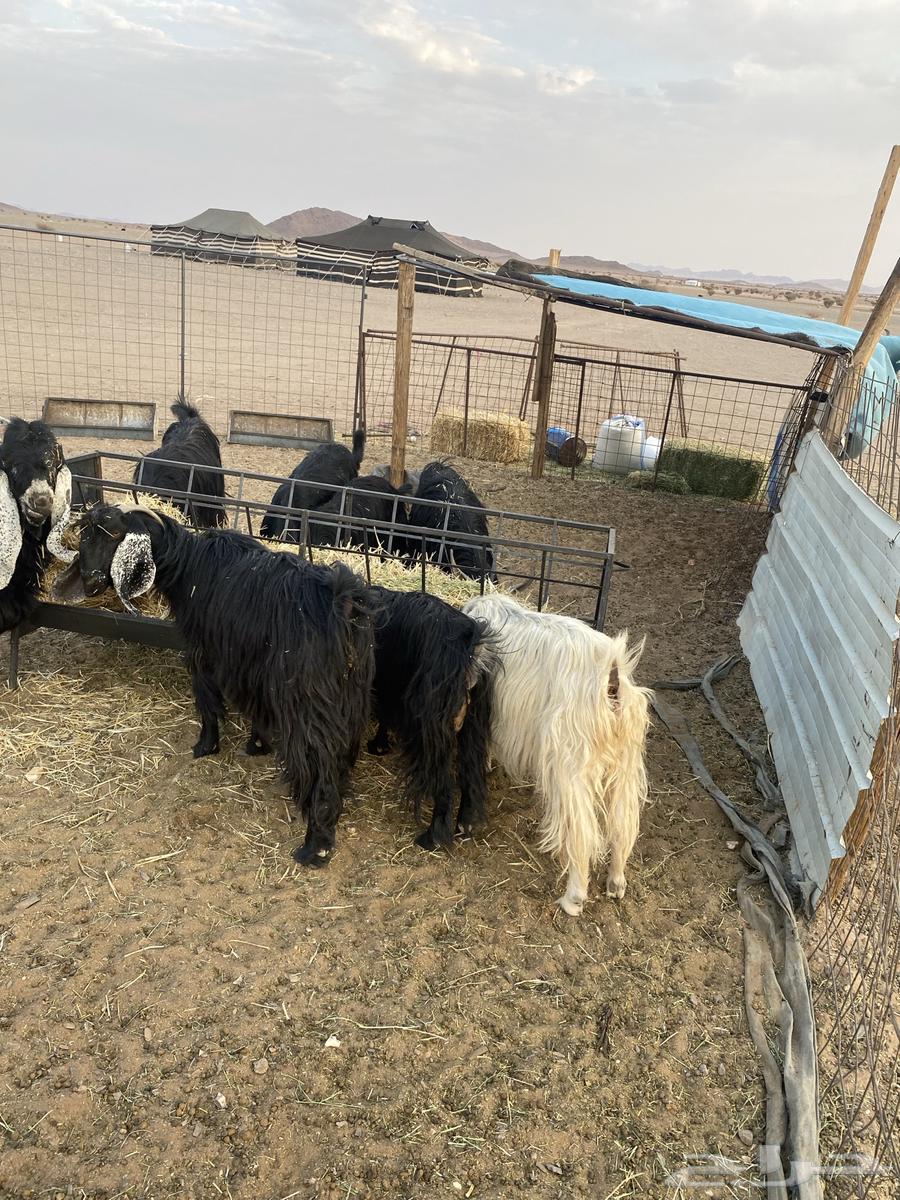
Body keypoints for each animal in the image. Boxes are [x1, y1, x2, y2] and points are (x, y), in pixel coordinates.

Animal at [55, 505, 375, 866]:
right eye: (85, 535)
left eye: (111, 536)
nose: (90, 582)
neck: (189, 566)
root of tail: (344, 605)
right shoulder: (251, 668)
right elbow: (257, 709)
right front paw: (257, 744)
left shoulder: (203, 651)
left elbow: (206, 699)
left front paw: (205, 745)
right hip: (351, 695)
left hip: (307, 702)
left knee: (317, 762)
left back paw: (314, 845)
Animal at [366, 588, 496, 850]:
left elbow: (384, 715)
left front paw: (378, 745)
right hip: (473, 726)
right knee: (470, 774)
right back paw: (464, 825)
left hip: (431, 727)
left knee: (444, 785)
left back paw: (432, 837)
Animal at [462, 595, 651, 917]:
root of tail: (612, 681)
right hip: (625, 766)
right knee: (622, 825)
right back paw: (616, 882)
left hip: (570, 765)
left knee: (582, 833)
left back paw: (574, 898)